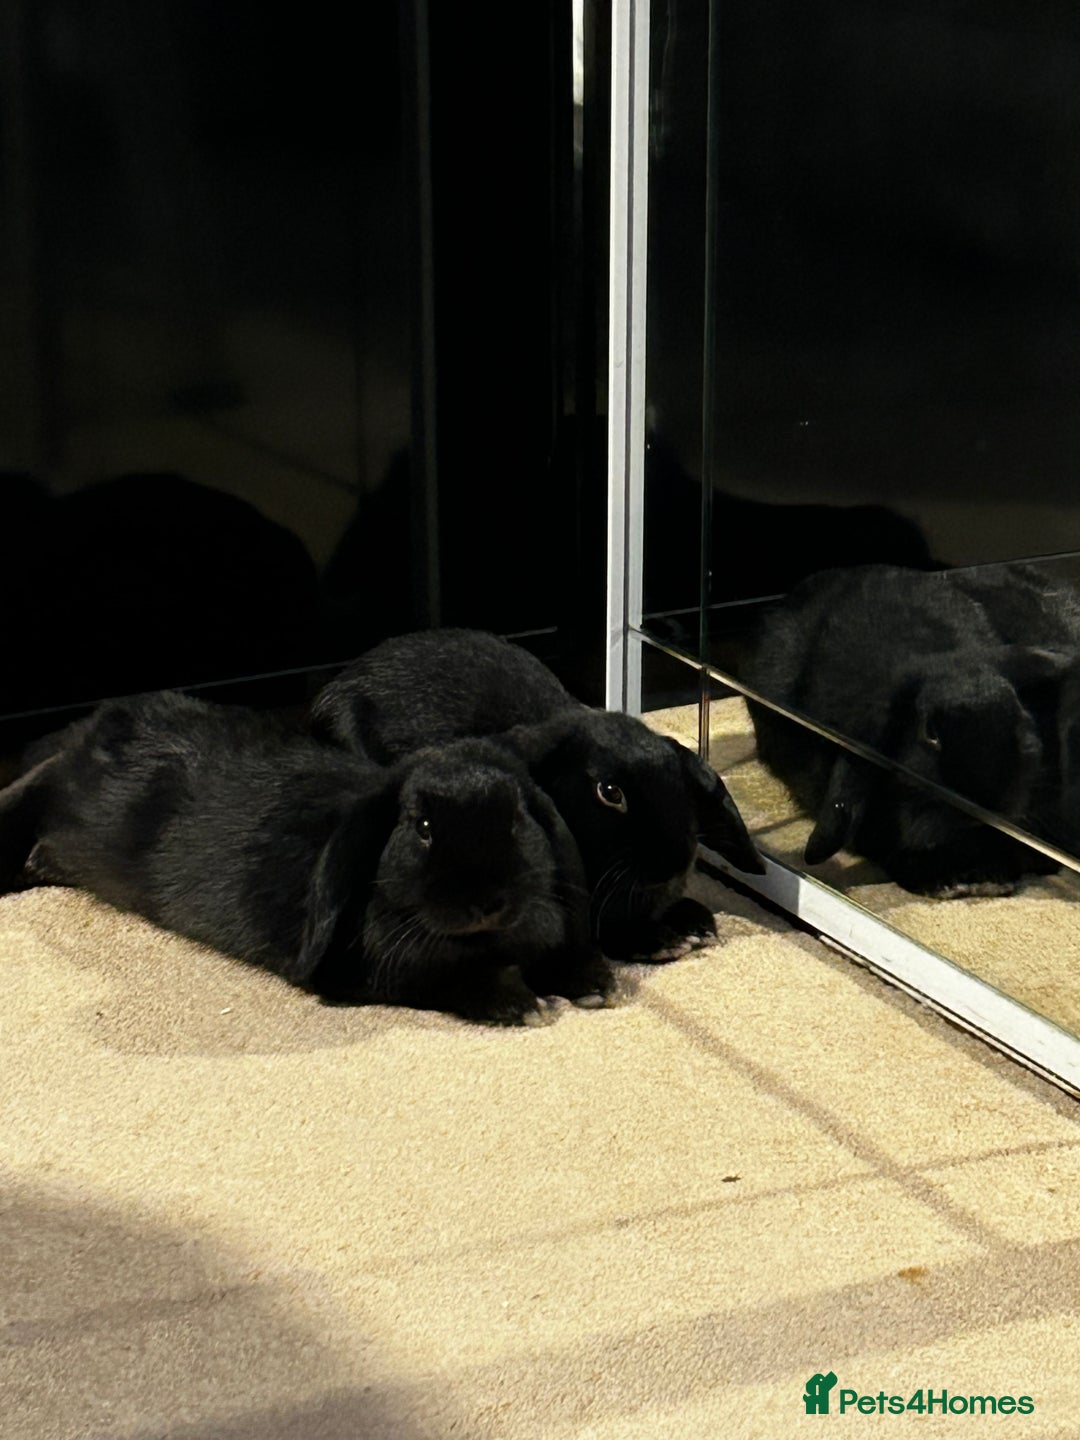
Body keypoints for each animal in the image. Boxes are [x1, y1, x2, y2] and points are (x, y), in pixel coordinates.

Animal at [4, 690, 614, 1025]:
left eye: (516, 820)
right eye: (421, 828)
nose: (488, 902)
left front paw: (592, 980)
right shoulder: (374, 972)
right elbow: (450, 976)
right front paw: (521, 1004)